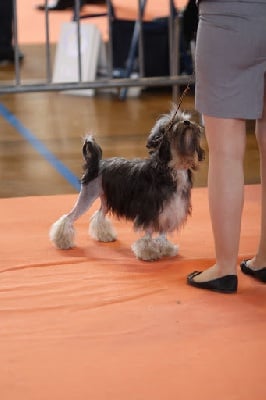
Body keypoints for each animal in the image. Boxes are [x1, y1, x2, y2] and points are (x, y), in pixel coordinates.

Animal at [48, 108, 205, 260]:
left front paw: (165, 248)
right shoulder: (150, 210)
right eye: (172, 124)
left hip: (105, 198)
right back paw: (62, 241)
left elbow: (162, 233)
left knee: (99, 216)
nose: (187, 122)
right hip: (87, 195)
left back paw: (104, 236)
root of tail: (96, 165)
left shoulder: (169, 210)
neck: (173, 167)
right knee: (68, 218)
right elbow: (148, 233)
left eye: (187, 118)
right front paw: (148, 252)